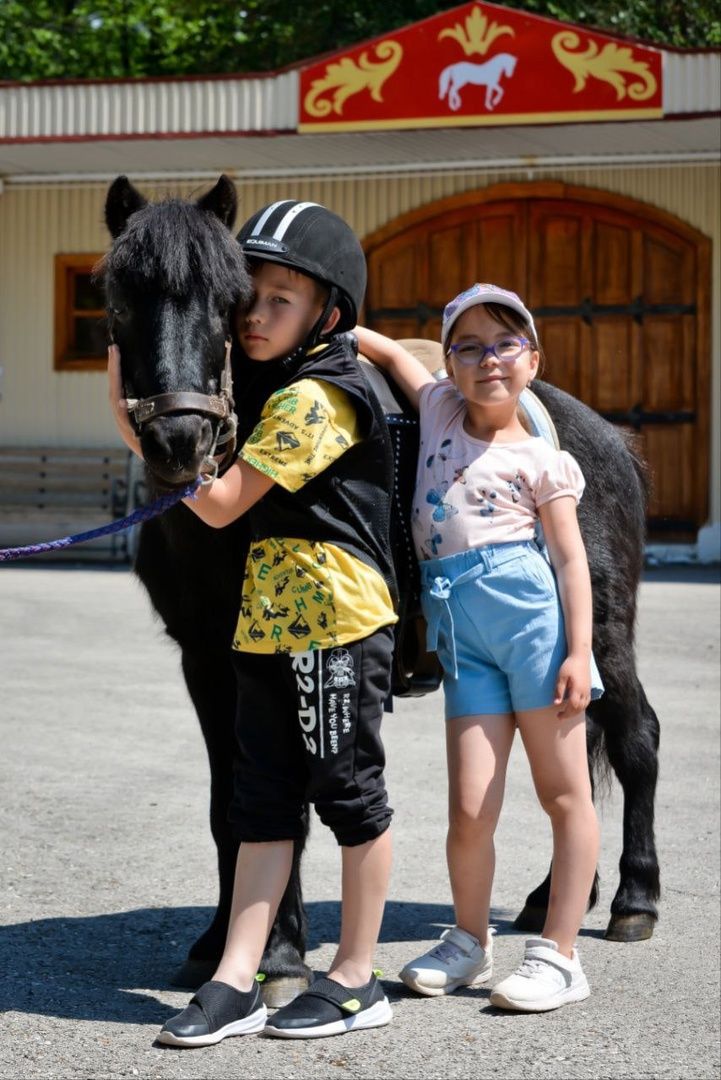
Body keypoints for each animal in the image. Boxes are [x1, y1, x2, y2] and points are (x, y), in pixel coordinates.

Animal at [99, 174, 660, 993]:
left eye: (231, 298)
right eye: (115, 297)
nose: (181, 439)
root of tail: (605, 439)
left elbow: (286, 803)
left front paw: (278, 954)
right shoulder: (206, 664)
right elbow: (229, 801)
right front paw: (217, 941)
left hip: (602, 635)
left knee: (635, 738)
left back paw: (634, 899)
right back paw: (553, 895)